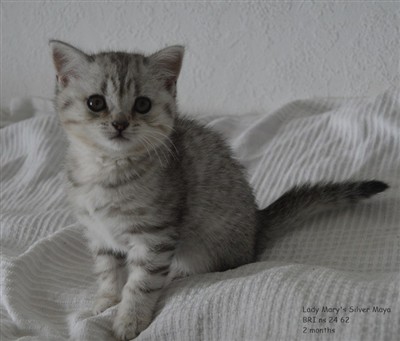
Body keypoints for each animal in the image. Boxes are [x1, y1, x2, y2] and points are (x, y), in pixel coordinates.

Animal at [49, 39, 388, 338]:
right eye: (96, 103)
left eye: (142, 104)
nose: (120, 123)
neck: (106, 169)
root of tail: (256, 226)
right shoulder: (99, 234)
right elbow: (108, 272)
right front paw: (106, 301)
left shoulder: (155, 236)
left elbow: (140, 283)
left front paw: (129, 320)